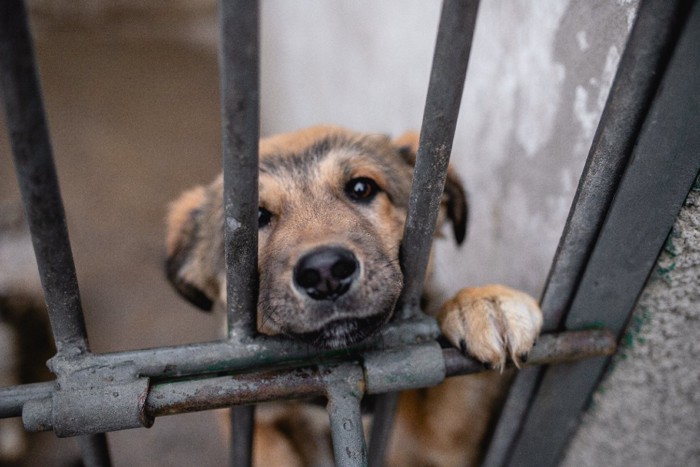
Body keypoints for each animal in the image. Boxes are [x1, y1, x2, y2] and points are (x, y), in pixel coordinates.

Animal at [167, 126, 544, 466]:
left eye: (362, 188)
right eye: (256, 217)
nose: (326, 272)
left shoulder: (446, 443)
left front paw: (483, 303)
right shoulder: (248, 413)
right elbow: (269, 448)